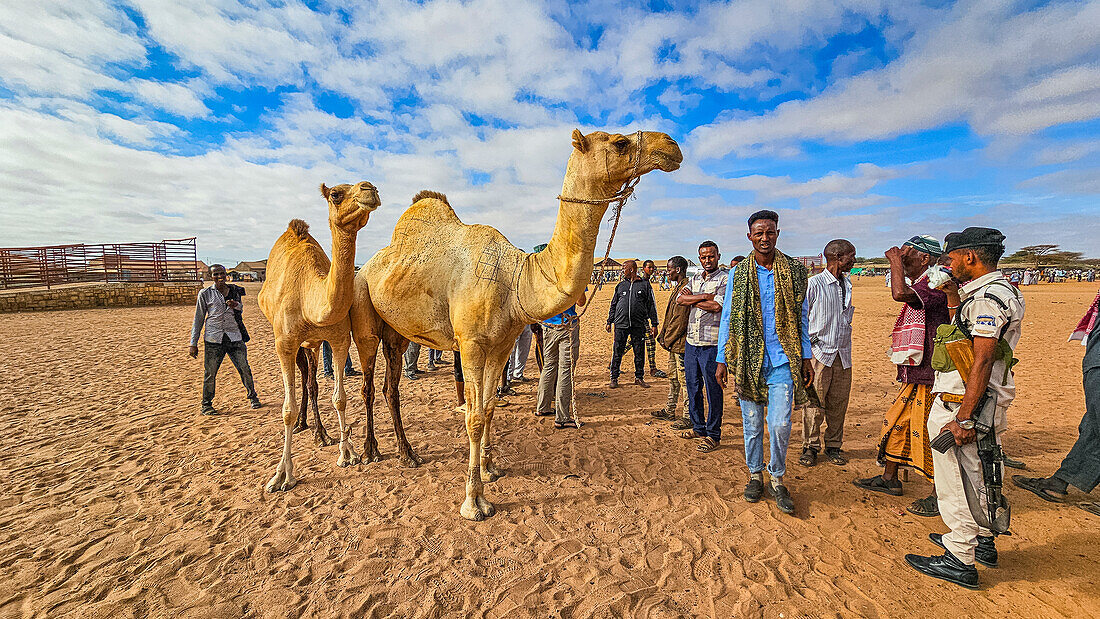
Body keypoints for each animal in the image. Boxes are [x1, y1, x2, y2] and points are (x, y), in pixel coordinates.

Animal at [256, 180, 378, 494]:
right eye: (335, 194)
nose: (370, 188)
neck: (309, 298)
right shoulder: (284, 343)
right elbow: (286, 408)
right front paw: (282, 475)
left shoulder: (338, 339)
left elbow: (340, 398)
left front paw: (347, 453)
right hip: (294, 342)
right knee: (303, 378)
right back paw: (304, 425)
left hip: (312, 344)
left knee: (311, 380)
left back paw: (321, 433)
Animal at [352, 129, 677, 518]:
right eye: (619, 142)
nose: (671, 145)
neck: (516, 279)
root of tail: (366, 267)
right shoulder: (471, 345)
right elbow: (474, 418)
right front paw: (474, 501)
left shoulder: (501, 344)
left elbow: (490, 408)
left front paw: (490, 469)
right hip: (364, 312)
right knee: (368, 385)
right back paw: (370, 452)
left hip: (398, 333)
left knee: (391, 388)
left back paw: (408, 454)